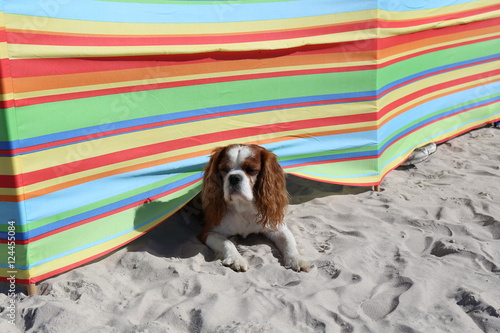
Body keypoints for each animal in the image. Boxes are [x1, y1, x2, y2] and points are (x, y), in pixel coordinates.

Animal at [199, 144, 308, 272]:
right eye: (224, 169)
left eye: (251, 170)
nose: (234, 177)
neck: (243, 206)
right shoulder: (208, 232)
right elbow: (226, 243)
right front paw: (237, 259)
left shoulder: (277, 227)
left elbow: (288, 241)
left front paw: (296, 259)